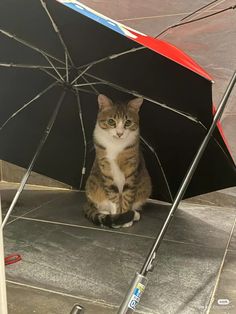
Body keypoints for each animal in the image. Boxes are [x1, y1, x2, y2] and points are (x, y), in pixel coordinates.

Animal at [85, 94, 151, 228]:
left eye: (128, 122)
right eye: (111, 121)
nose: (120, 133)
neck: (115, 145)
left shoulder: (131, 169)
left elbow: (128, 194)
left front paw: (126, 218)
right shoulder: (106, 168)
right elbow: (113, 195)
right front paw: (117, 217)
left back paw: (135, 214)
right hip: (92, 186)